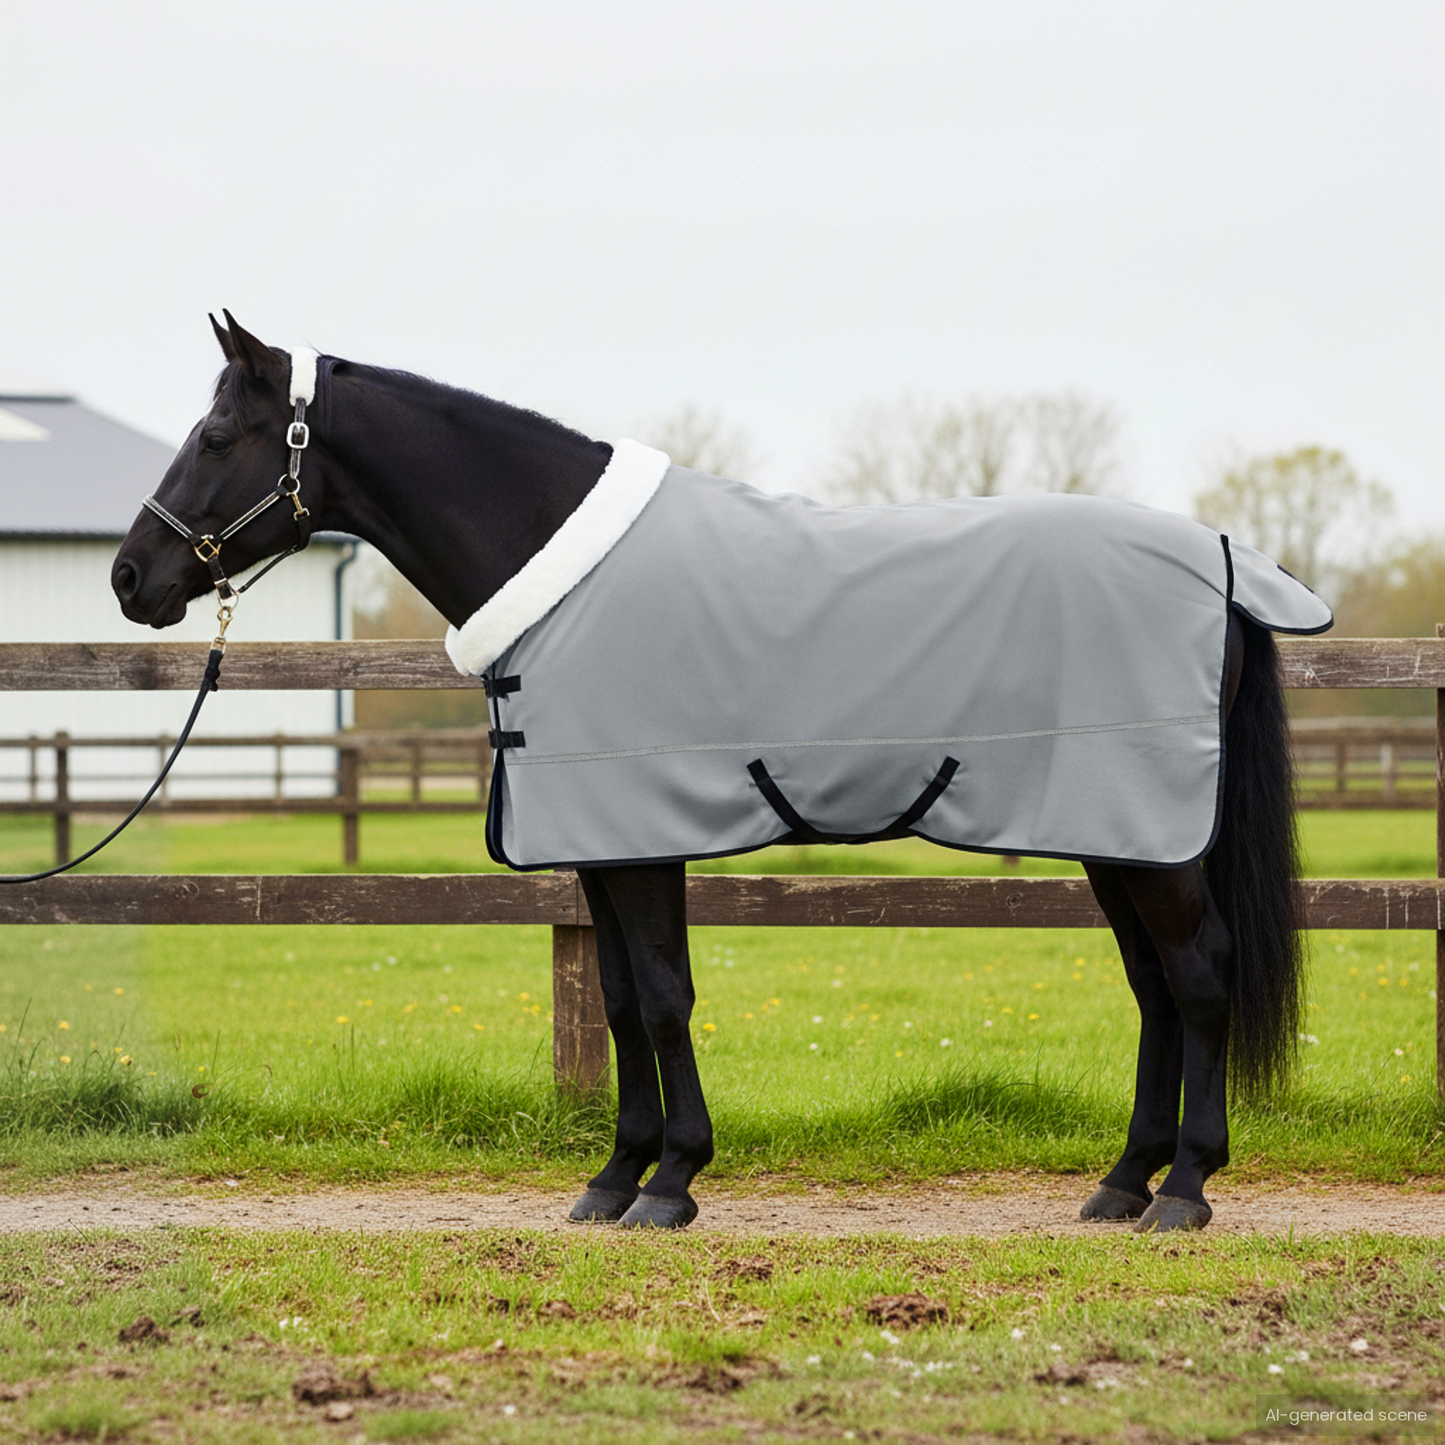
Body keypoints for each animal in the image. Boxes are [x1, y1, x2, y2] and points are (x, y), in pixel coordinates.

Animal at [113, 313, 1318, 1234]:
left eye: (216, 433)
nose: (131, 576)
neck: (557, 569)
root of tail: (1221, 559)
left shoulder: (641, 838)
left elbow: (659, 996)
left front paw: (672, 1181)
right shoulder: (598, 846)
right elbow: (616, 1001)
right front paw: (615, 1177)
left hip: (1151, 838)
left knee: (1198, 972)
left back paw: (1184, 1188)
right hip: (1116, 833)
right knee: (1153, 985)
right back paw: (1121, 1182)